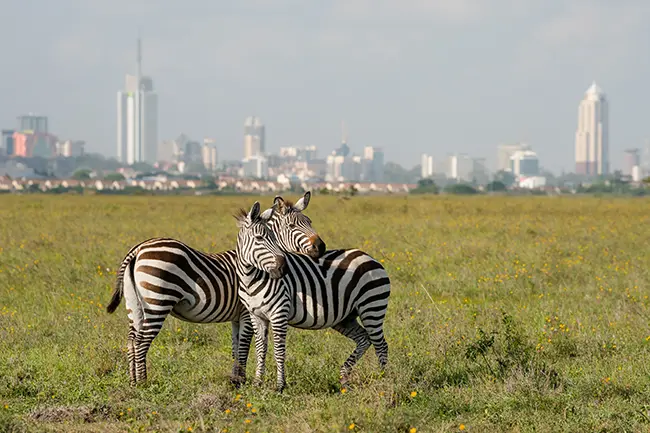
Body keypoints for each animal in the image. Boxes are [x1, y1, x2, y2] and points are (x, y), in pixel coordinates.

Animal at [105, 191, 324, 386]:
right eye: (292, 225)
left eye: (310, 221)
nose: (321, 247)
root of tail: (138, 249)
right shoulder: (246, 312)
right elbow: (244, 346)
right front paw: (240, 380)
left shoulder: (237, 316)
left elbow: (236, 346)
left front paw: (235, 379)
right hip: (158, 302)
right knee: (141, 341)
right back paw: (143, 383)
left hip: (134, 304)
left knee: (132, 340)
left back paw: (132, 381)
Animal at [234, 200, 390, 392]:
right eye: (259, 239)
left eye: (273, 239)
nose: (283, 269)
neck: (251, 279)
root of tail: (369, 257)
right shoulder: (256, 316)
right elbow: (260, 350)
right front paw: (257, 384)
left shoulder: (279, 314)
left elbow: (279, 351)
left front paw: (280, 386)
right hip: (345, 317)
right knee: (364, 339)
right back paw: (344, 378)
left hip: (372, 307)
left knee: (381, 345)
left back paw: (383, 381)